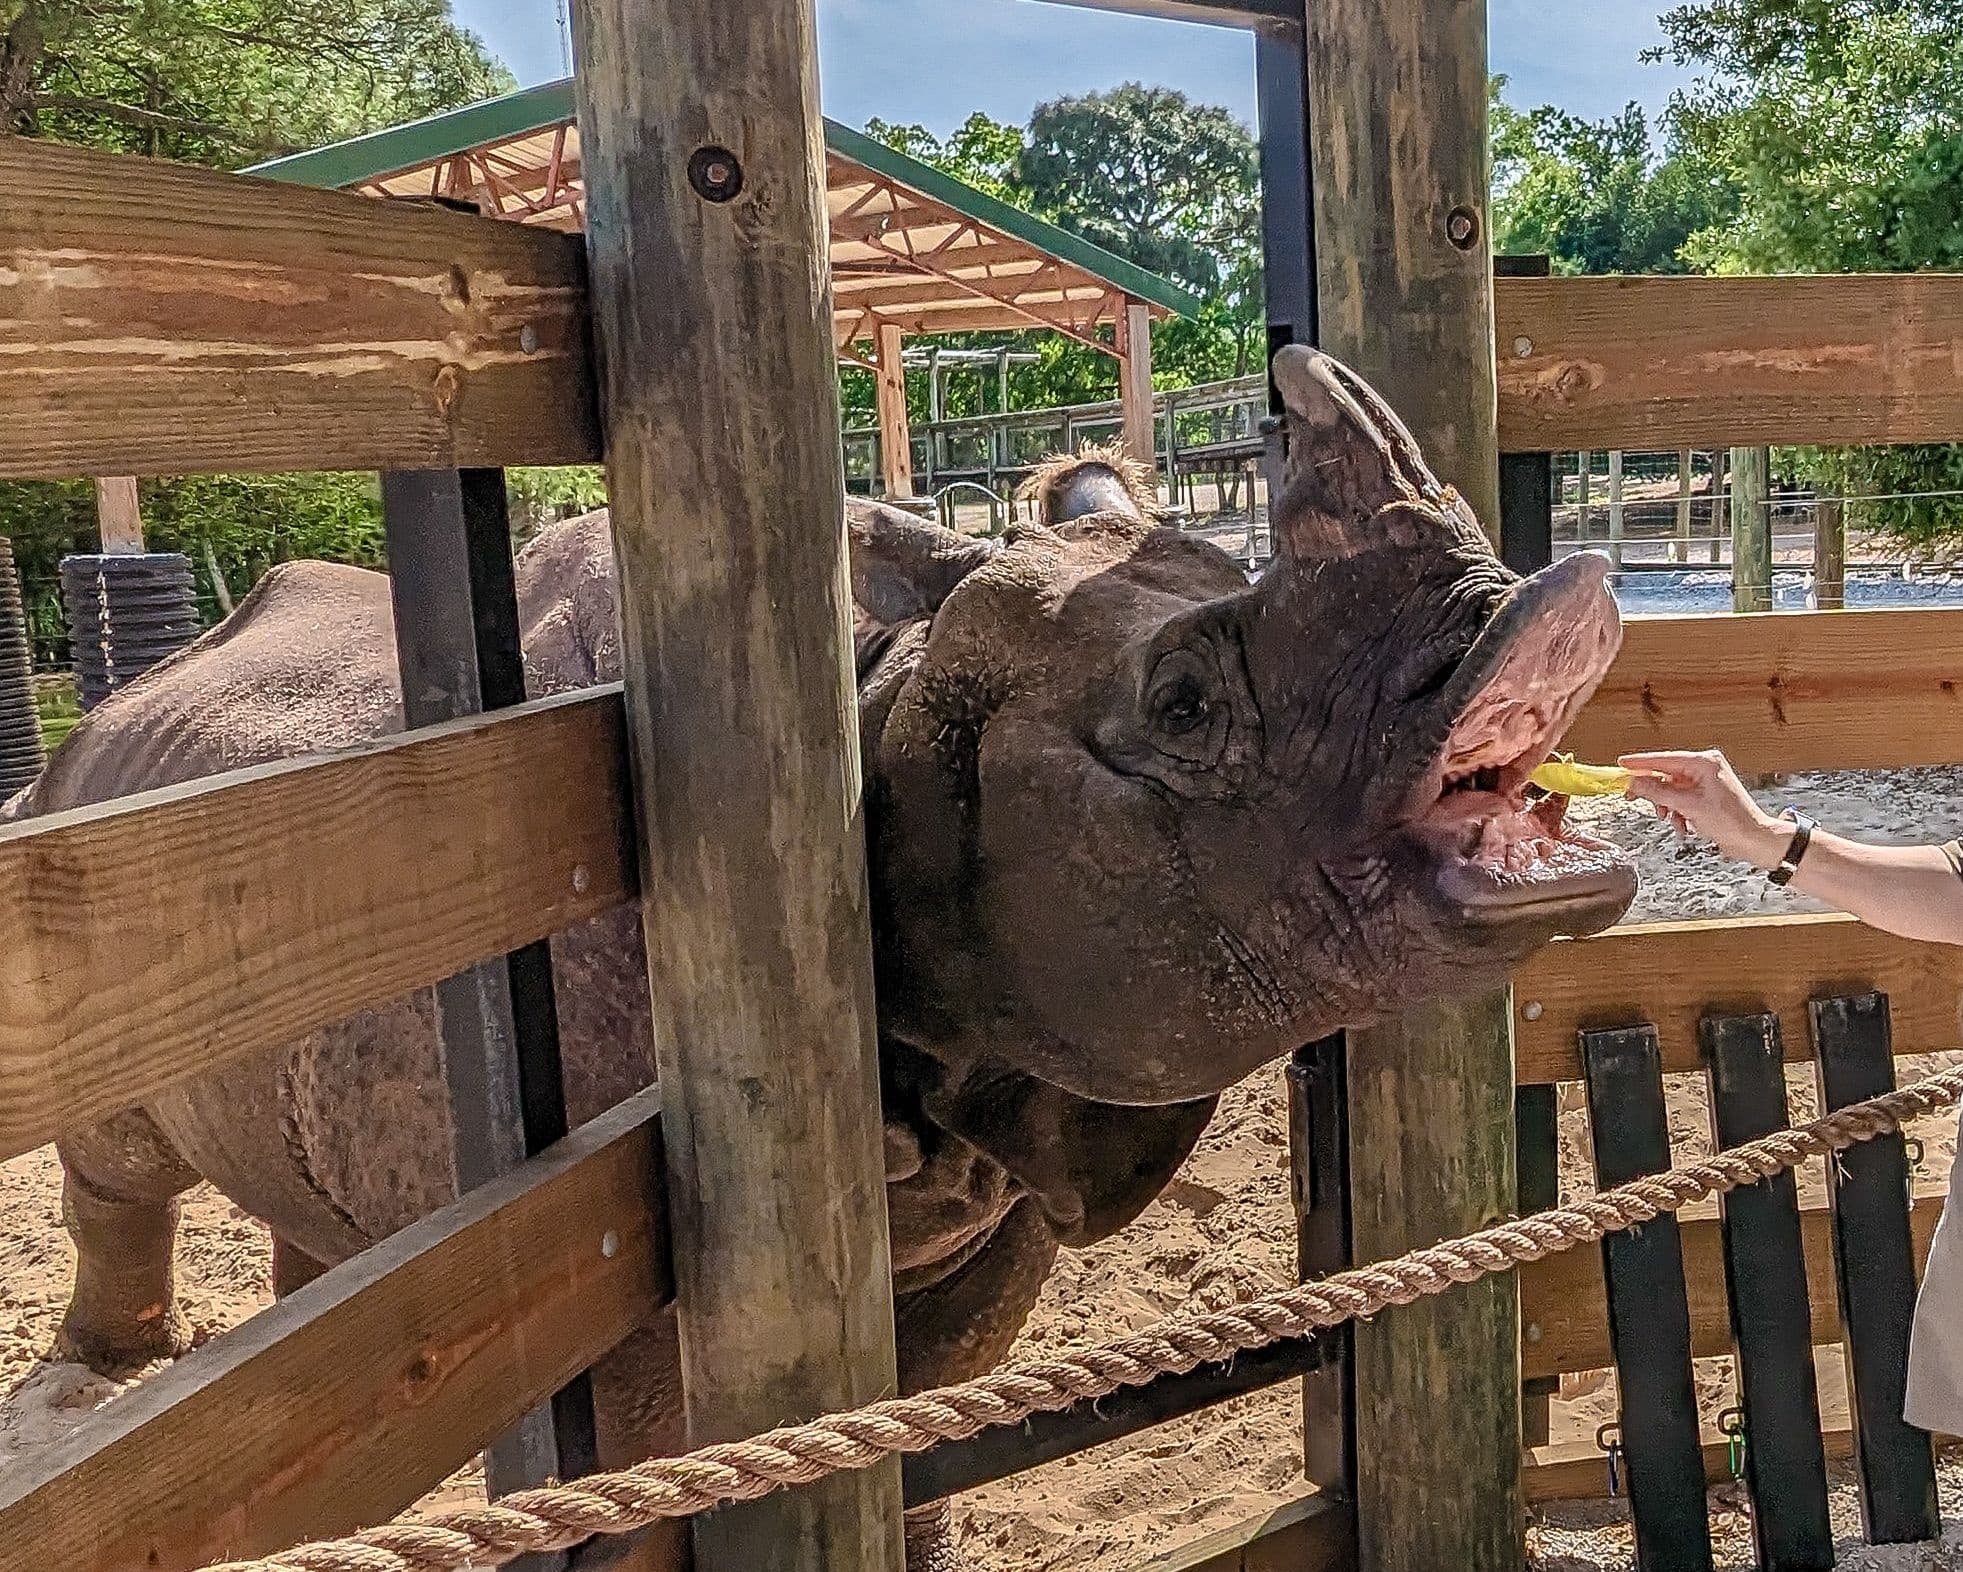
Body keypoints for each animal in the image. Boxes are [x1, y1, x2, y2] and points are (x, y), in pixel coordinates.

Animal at [7, 348, 1634, 1566]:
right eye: (1178, 707)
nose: (1540, 609)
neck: (879, 712)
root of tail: (135, 696)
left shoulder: (1009, 1165)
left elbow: (923, 1417)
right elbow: (658, 1479)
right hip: (94, 829)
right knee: (117, 1141)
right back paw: (102, 1375)